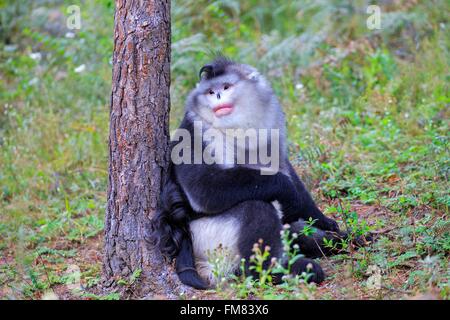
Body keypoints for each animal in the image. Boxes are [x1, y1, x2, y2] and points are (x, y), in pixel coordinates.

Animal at [152, 57, 370, 290]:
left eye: (226, 87)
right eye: (210, 91)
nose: (218, 95)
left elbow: (285, 167)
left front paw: (323, 220)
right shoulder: (197, 131)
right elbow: (204, 190)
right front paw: (288, 192)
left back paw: (344, 242)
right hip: (209, 240)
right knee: (256, 209)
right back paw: (276, 272)